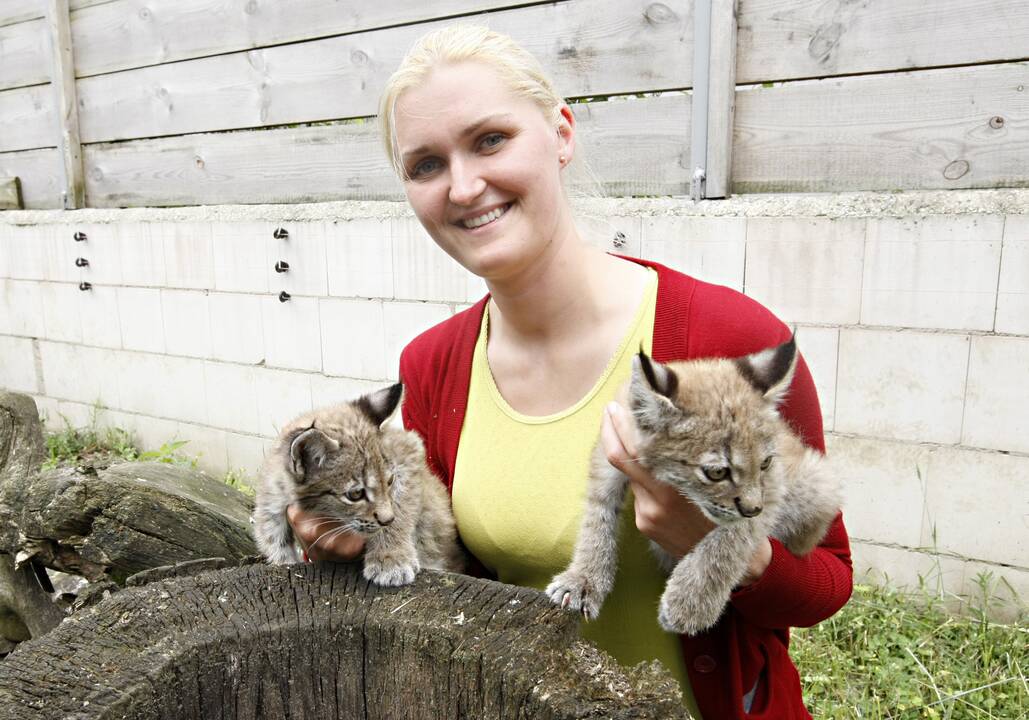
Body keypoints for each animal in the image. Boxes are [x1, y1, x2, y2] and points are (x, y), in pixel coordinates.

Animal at [255, 382, 465, 584]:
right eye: (355, 494)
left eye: (389, 481)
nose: (387, 520)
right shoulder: (272, 495)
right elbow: (272, 536)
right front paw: (283, 562)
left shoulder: (409, 451)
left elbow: (400, 506)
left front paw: (391, 560)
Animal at [543, 337, 839, 633]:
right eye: (717, 472)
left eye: (764, 463)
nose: (753, 508)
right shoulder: (609, 454)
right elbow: (597, 516)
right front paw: (583, 579)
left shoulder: (774, 485)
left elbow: (734, 536)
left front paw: (690, 603)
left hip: (817, 482)